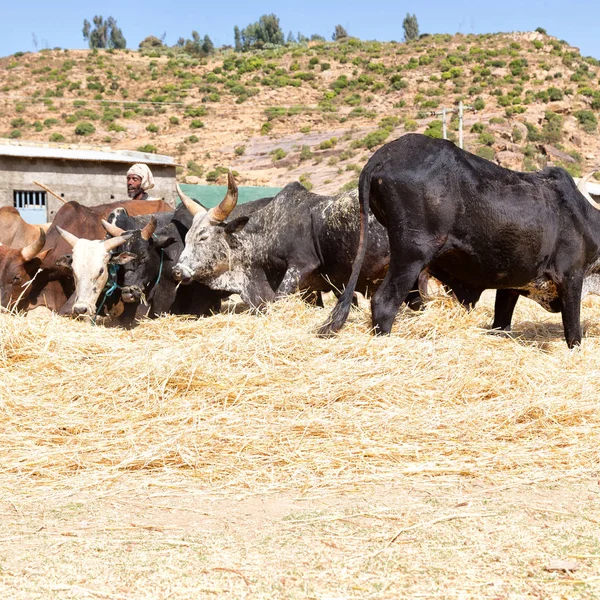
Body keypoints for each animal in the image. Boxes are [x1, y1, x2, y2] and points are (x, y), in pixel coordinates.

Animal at [322, 132, 600, 346]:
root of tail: (382, 157)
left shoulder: (511, 284)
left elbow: (501, 323)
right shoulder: (571, 277)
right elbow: (573, 334)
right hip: (412, 254)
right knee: (384, 304)